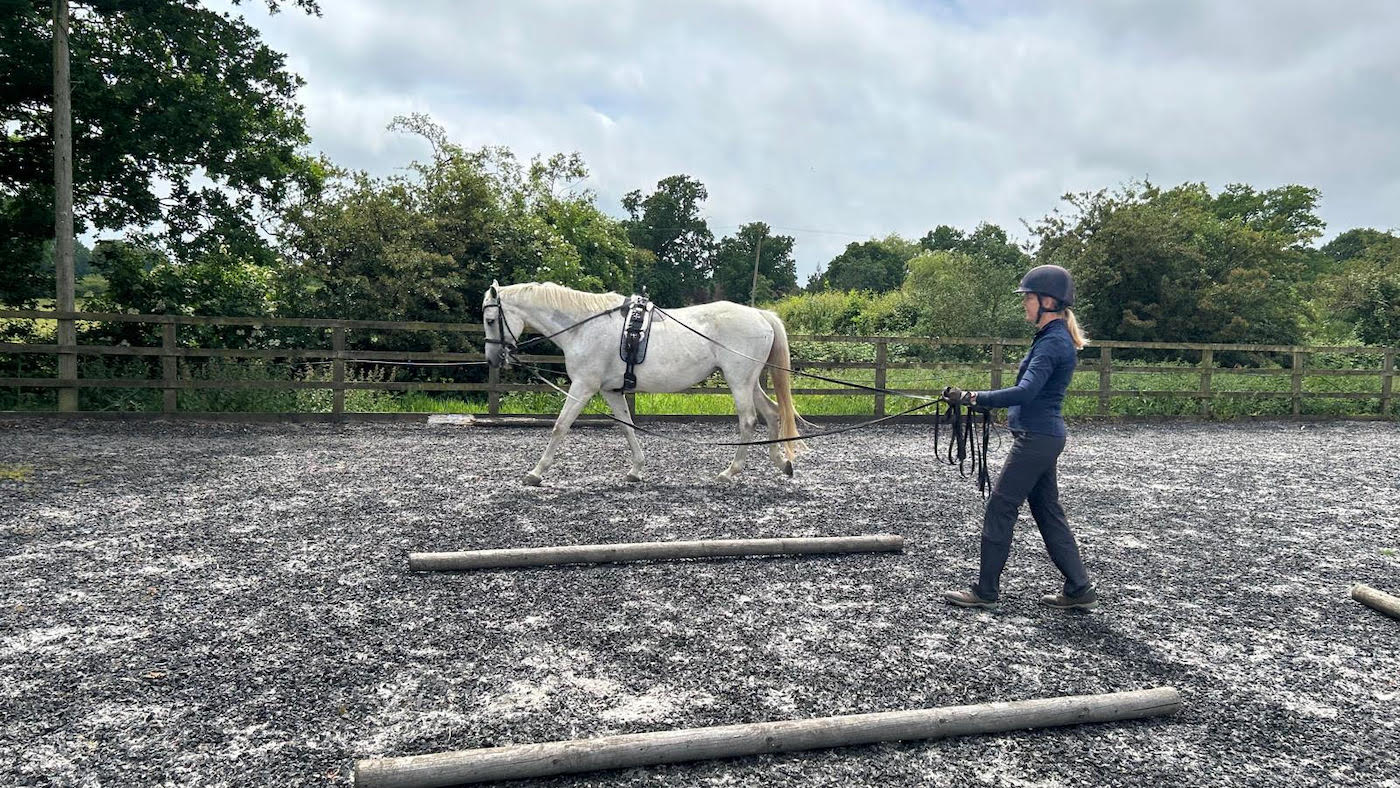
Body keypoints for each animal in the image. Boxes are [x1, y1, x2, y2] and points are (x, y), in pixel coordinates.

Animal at [482, 281, 804, 485]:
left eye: (489, 319)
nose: (493, 358)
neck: (584, 326)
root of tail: (760, 315)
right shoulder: (611, 391)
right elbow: (626, 427)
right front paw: (636, 470)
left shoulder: (583, 386)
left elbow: (560, 426)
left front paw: (535, 473)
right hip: (749, 381)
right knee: (773, 412)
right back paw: (782, 463)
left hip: (738, 380)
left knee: (748, 420)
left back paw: (730, 472)